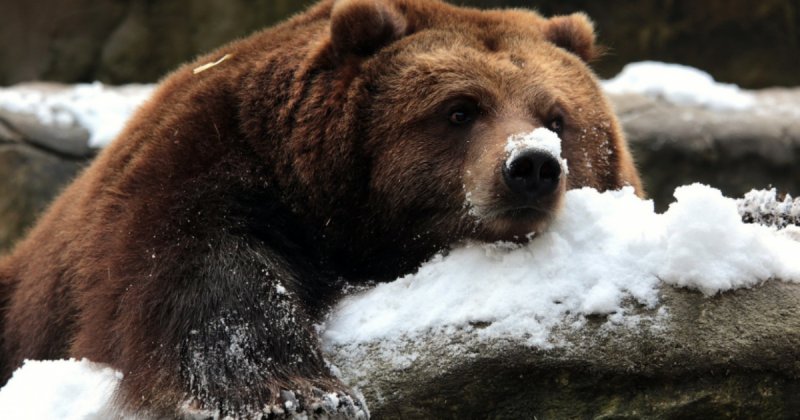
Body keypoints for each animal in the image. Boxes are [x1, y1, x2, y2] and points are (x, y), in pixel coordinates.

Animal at [0, 0, 642, 417]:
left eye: (557, 117)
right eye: (460, 109)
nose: (531, 166)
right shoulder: (212, 155)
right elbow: (203, 267)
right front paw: (299, 394)